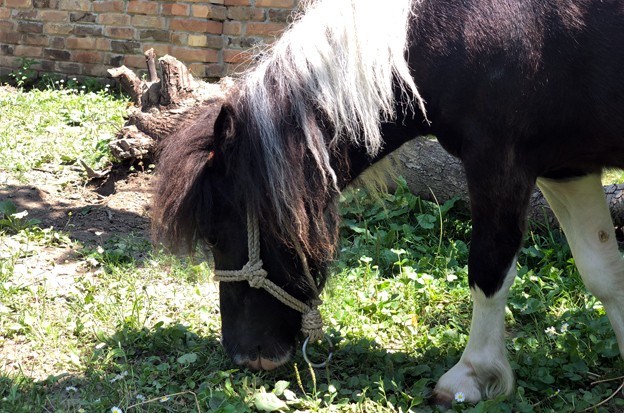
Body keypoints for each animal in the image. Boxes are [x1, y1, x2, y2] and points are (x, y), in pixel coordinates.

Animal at [151, 0, 624, 405]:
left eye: (216, 232)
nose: (244, 355)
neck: (461, 33)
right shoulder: (566, 169)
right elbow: (603, 273)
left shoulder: (500, 164)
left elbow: (488, 272)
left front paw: (470, 376)